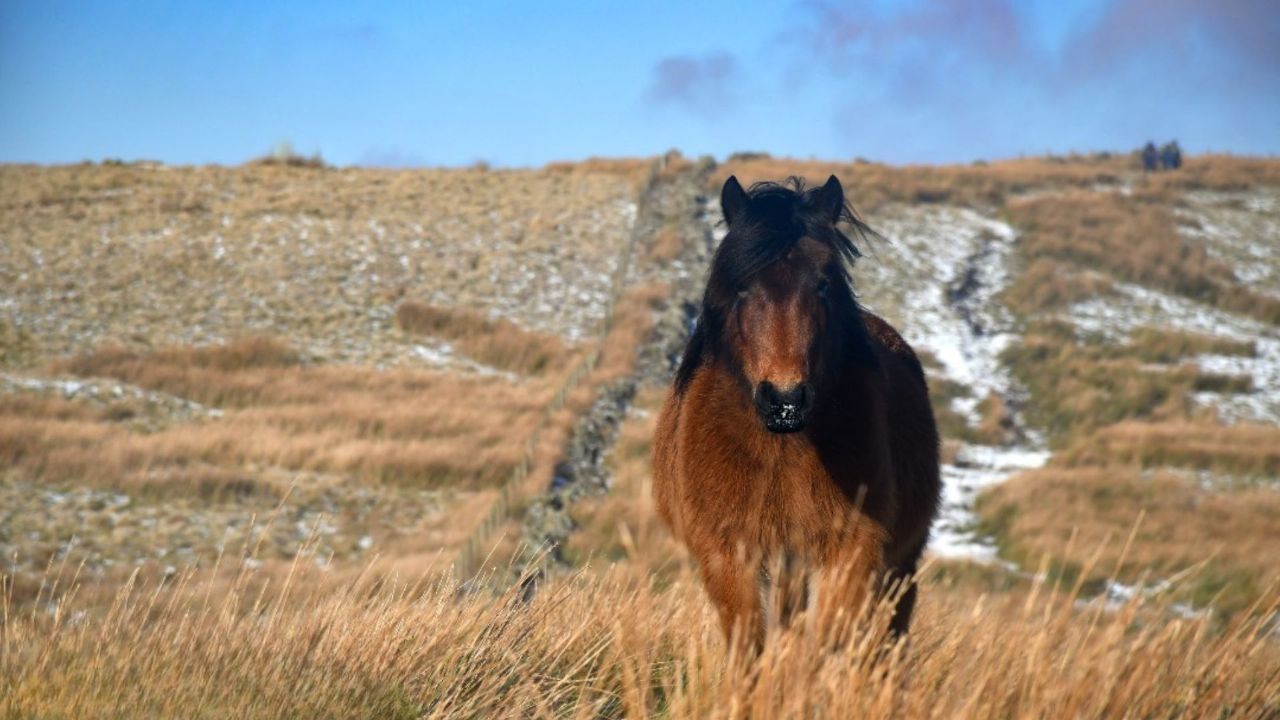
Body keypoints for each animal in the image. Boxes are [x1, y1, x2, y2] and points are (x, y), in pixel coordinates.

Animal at [652, 174, 940, 653]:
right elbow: (749, 645)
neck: (779, 448)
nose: (785, 399)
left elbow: (824, 644)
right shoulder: (729, 554)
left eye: (823, 283)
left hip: (897, 568)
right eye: (741, 286)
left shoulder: (849, 548)